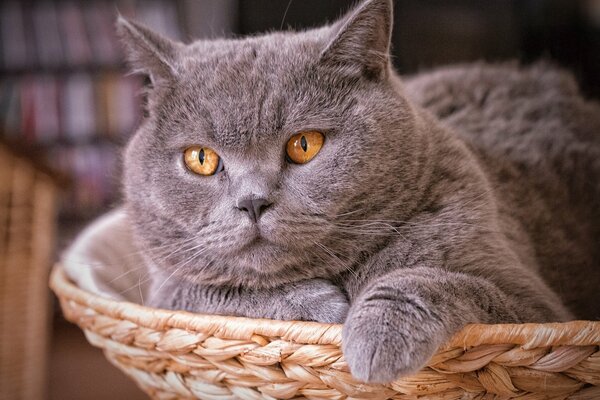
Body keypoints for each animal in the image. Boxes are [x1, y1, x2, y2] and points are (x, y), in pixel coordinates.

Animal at [65, 0, 600, 384]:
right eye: (201, 159)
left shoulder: (537, 315)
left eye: (304, 144)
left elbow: (434, 278)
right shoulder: (164, 290)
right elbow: (209, 290)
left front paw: (374, 339)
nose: (253, 201)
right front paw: (322, 306)